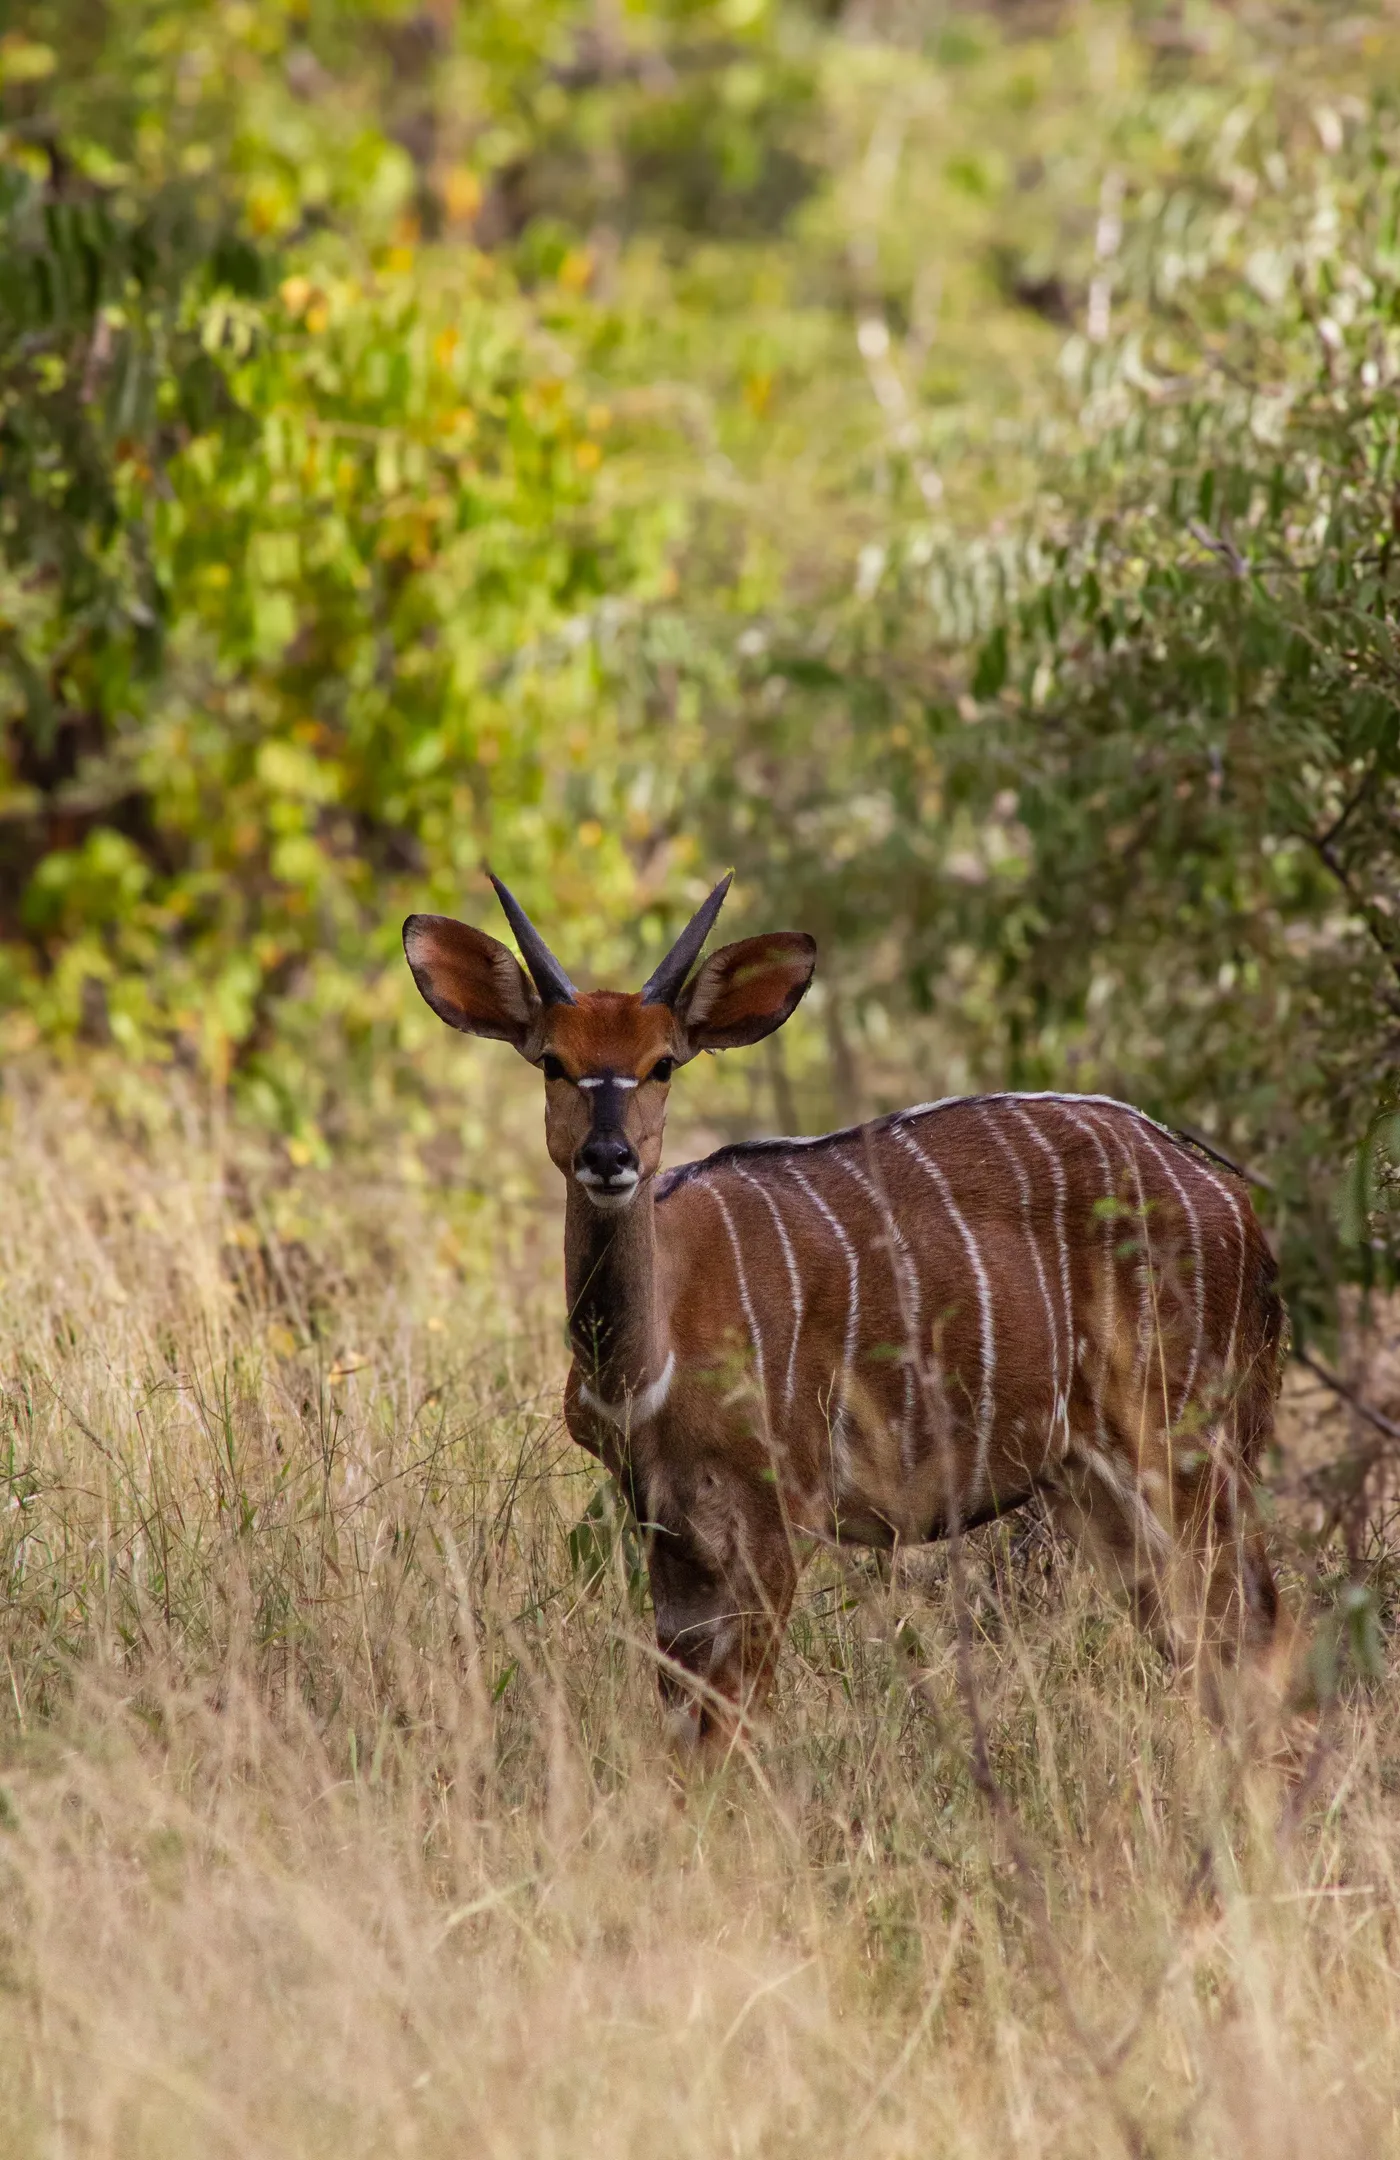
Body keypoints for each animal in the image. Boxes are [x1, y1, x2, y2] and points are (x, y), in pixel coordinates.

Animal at [404, 874, 1286, 1747]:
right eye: (554, 1061)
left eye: (662, 1065)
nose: (609, 1158)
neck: (651, 1355)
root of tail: (1240, 1205)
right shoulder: (667, 1525)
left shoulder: (777, 1512)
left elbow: (736, 1719)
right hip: (1101, 1487)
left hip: (1193, 1453)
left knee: (1254, 1634)